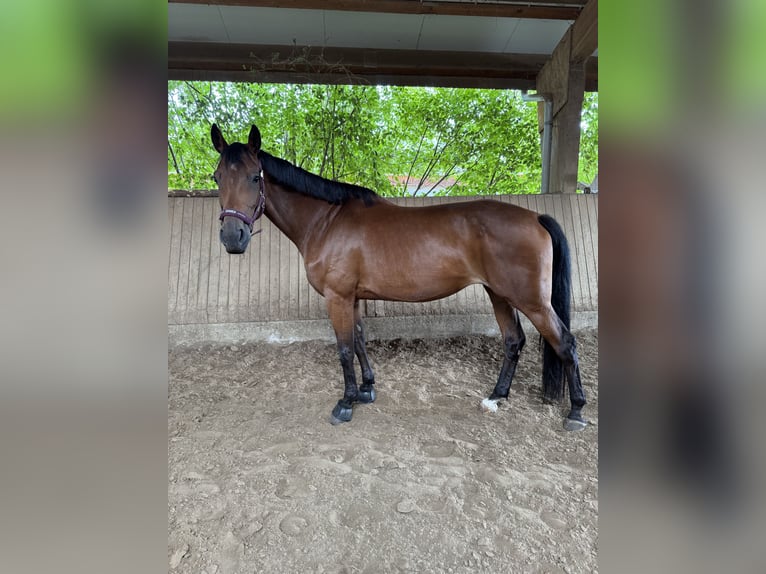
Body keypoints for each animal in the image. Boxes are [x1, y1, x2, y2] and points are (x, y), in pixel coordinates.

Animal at [210, 124, 587, 431]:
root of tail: (535, 217)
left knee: (565, 343)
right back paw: (496, 397)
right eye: (217, 178)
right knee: (513, 341)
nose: (232, 238)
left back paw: (576, 412)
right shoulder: (352, 298)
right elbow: (359, 340)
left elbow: (344, 348)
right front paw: (366, 389)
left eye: (255, 177)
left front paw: (345, 403)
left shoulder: (337, 297)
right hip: (499, 294)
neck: (326, 221)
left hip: (531, 301)